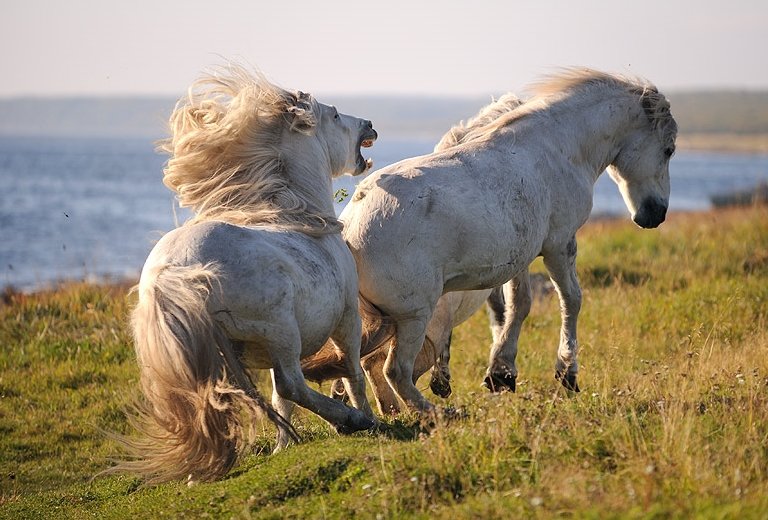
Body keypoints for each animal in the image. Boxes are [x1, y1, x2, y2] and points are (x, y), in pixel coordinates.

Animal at [113, 65, 379, 484]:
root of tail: (172, 274)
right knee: (294, 384)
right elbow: (352, 373)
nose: (369, 125)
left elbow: (279, 400)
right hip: (281, 330)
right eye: (335, 115)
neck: (304, 219)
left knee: (221, 398)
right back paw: (351, 420)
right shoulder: (347, 319)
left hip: (221, 352)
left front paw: (283, 447)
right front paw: (367, 416)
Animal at [308, 68, 677, 414]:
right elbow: (571, 300)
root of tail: (351, 225)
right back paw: (434, 414)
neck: (558, 146)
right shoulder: (559, 245)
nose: (655, 214)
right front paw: (566, 373)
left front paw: (502, 372)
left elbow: (519, 305)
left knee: (360, 367)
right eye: (669, 150)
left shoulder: (521, 256)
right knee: (393, 370)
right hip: (413, 316)